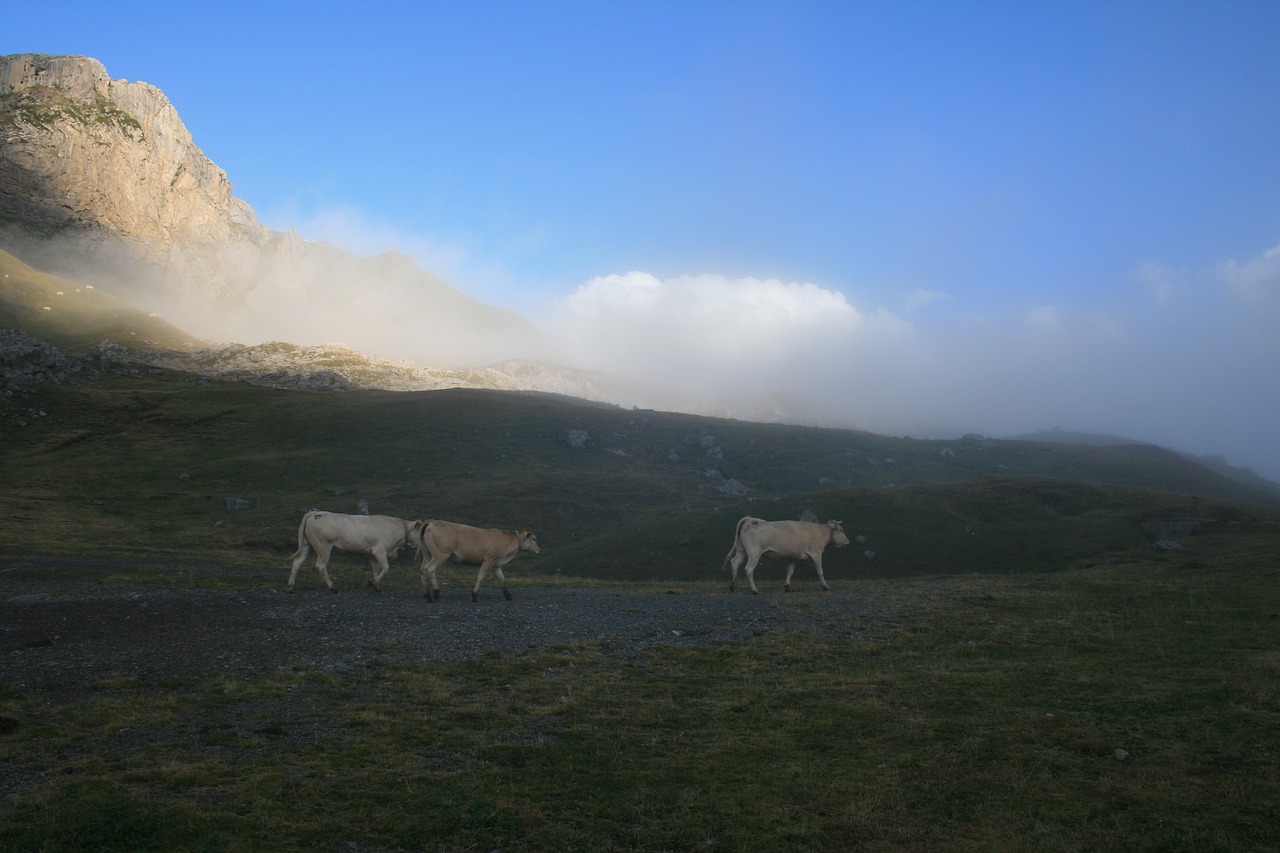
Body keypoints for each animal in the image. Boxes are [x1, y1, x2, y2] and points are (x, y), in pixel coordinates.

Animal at [288, 512, 422, 591]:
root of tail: (315, 513)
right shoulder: (379, 551)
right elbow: (385, 568)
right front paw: (372, 583)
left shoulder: (372, 553)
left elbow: (375, 569)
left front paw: (377, 585)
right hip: (323, 546)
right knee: (321, 566)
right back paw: (332, 586)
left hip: (307, 545)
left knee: (297, 562)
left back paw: (291, 586)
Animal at [721, 514, 849, 594]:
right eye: (841, 530)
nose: (848, 541)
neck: (819, 533)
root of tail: (749, 520)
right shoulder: (816, 554)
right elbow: (820, 572)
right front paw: (826, 586)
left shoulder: (793, 557)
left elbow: (790, 572)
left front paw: (787, 586)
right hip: (754, 553)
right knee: (748, 569)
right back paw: (754, 590)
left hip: (741, 550)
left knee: (734, 563)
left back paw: (732, 586)